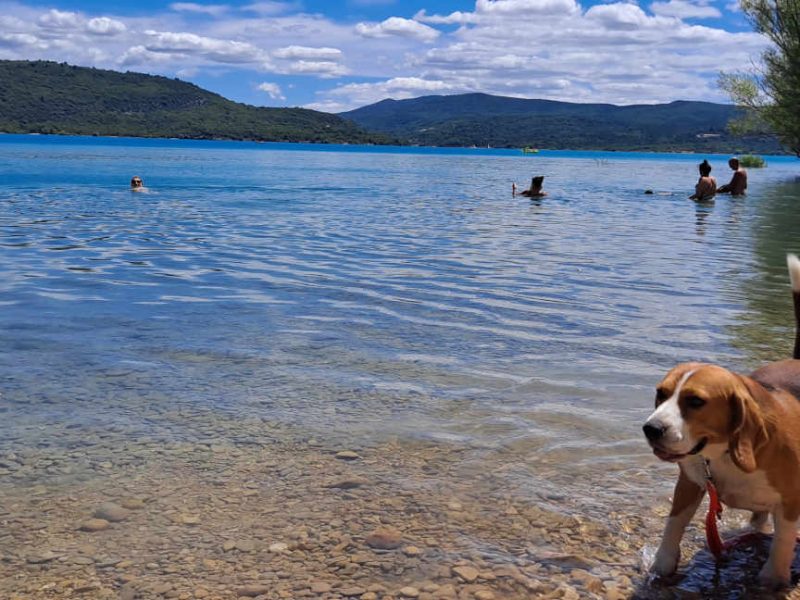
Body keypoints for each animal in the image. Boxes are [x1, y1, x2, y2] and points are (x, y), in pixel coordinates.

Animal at [644, 253, 800, 584]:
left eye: (695, 401)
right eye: (661, 393)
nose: (650, 429)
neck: (725, 454)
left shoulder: (791, 501)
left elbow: (782, 542)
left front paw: (772, 580)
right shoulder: (689, 483)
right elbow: (673, 525)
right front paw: (662, 565)